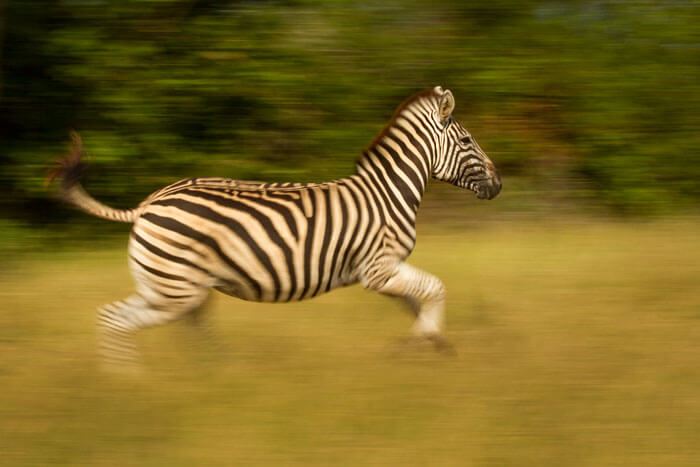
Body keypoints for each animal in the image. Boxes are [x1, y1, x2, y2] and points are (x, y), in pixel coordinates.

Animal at [47, 87, 498, 366]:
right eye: (468, 142)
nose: (498, 184)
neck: (386, 193)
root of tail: (145, 205)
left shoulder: (384, 272)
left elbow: (418, 302)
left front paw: (427, 344)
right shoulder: (378, 269)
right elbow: (436, 289)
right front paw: (425, 343)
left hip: (179, 286)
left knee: (167, 325)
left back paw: (211, 374)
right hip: (172, 289)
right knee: (116, 319)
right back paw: (131, 386)